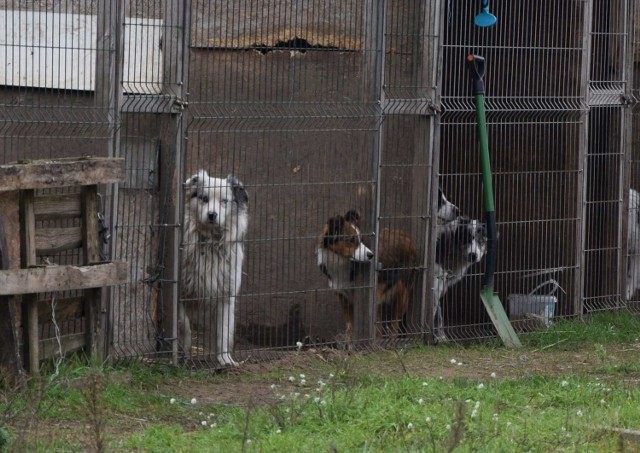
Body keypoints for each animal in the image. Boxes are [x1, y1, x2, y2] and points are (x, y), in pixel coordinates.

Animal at [182, 168, 250, 366]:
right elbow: (184, 327)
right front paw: (183, 354)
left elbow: (223, 333)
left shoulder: (226, 297)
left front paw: (225, 360)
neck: (210, 242)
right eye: (204, 198)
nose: (212, 215)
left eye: (224, 201)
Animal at [316, 210, 418, 340]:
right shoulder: (343, 297)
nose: (371, 255)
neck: (341, 262)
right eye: (351, 240)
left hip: (402, 292)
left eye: (361, 240)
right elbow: (350, 326)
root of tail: (406, 236)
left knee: (394, 324)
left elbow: (375, 328)